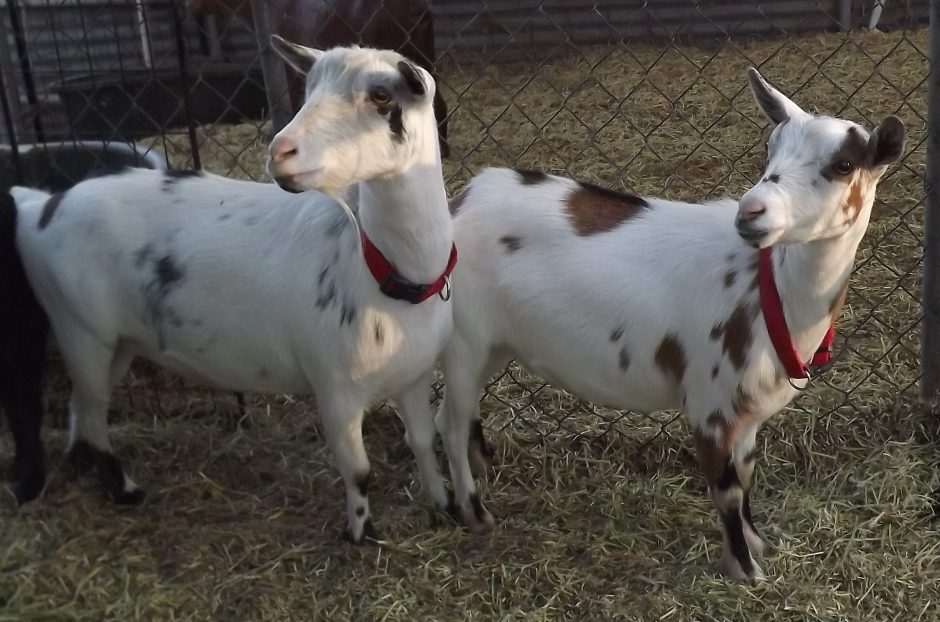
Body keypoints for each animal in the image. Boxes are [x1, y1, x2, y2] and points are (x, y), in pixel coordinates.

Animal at [434, 69, 905, 580]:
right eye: (770, 148)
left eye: (843, 164)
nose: (751, 212)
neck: (771, 290)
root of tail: (460, 201)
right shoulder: (709, 403)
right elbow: (726, 489)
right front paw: (744, 571)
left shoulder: (748, 416)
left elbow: (746, 476)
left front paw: (756, 544)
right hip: (462, 340)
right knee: (450, 424)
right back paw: (475, 511)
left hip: (489, 343)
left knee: (459, 414)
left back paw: (477, 475)